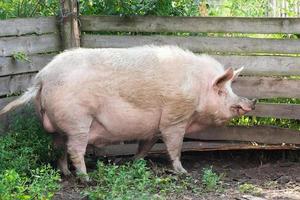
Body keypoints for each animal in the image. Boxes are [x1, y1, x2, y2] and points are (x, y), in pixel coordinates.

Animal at [0, 45, 255, 178]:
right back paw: (85, 178)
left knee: (58, 148)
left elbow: (146, 146)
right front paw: (182, 172)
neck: (197, 88)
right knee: (74, 149)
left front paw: (134, 163)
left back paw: (67, 174)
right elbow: (174, 147)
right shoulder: (174, 119)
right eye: (222, 90)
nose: (251, 102)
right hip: (78, 121)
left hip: (59, 127)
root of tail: (42, 77)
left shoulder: (153, 127)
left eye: (231, 88)